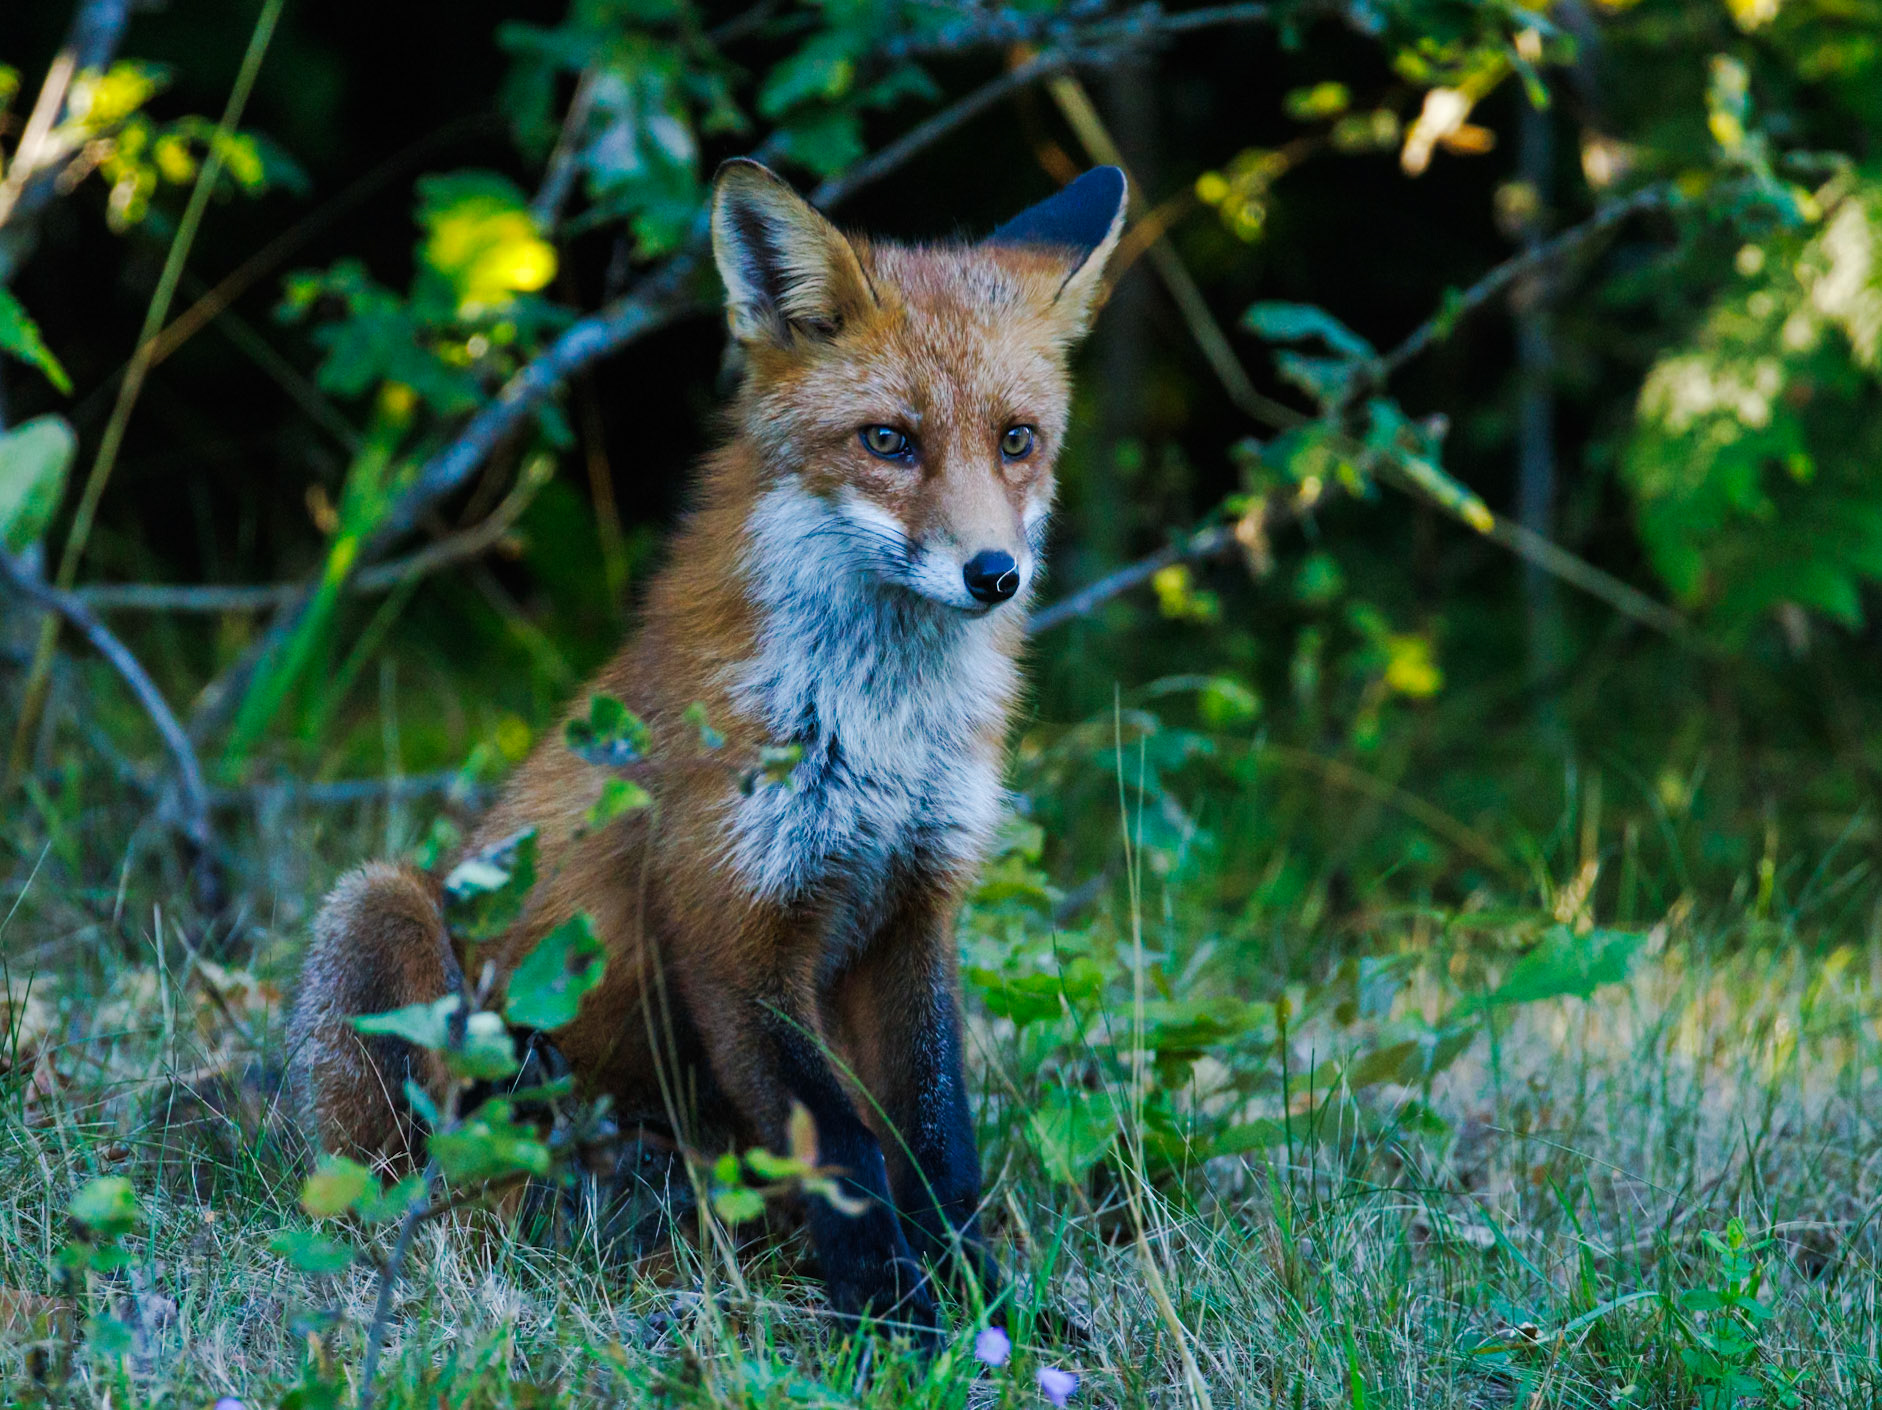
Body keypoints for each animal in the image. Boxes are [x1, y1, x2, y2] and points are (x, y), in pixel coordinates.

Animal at [288, 157, 1128, 1332]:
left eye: (1018, 440)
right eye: (889, 441)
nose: (994, 574)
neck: (879, 731)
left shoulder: (915, 910)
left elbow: (936, 1140)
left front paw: (977, 1298)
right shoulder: (731, 923)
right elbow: (846, 1152)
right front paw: (896, 1317)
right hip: (385, 912)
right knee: (425, 1179)